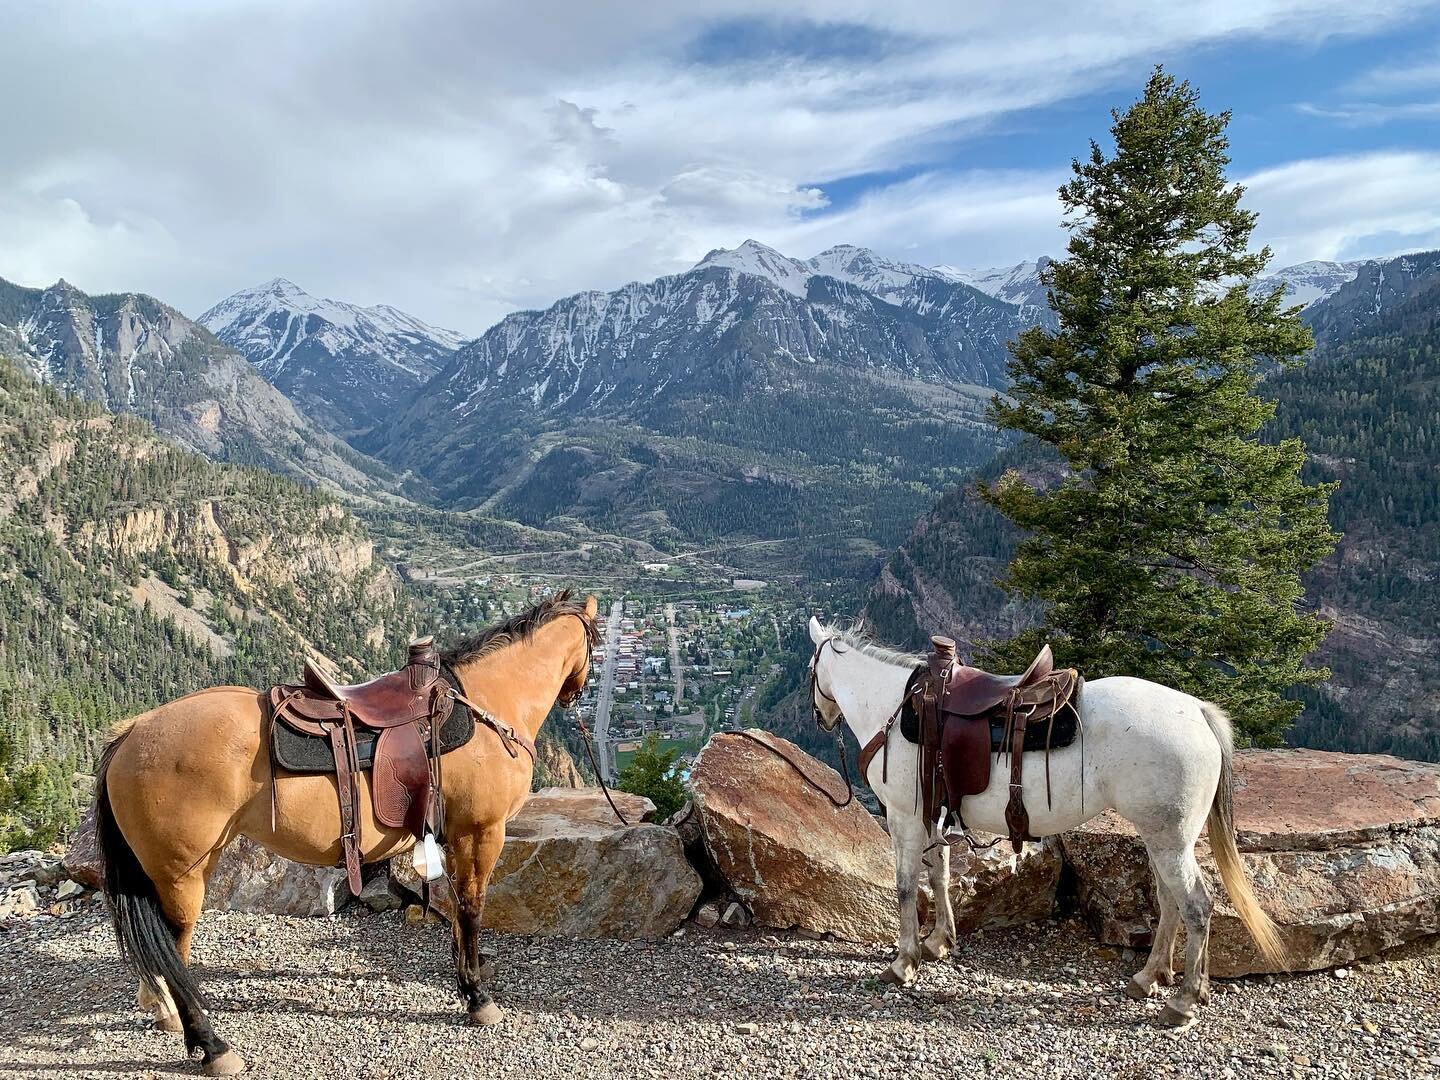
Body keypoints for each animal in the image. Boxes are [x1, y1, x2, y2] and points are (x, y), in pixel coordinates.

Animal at [91, 596, 596, 1077]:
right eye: (594, 642)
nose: (575, 696)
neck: (487, 704)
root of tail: (131, 733)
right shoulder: (480, 832)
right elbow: (471, 907)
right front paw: (476, 995)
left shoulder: (454, 835)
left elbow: (456, 908)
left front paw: (465, 972)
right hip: (180, 874)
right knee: (174, 944)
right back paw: (211, 1044)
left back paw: (164, 1011)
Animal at [806, 616, 1290, 1031]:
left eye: (810, 669)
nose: (821, 718)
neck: (896, 707)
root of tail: (1199, 711)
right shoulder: (935, 813)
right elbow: (939, 875)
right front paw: (940, 941)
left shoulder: (905, 816)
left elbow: (907, 886)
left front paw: (904, 962)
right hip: (1160, 837)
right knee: (1169, 903)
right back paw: (1149, 978)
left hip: (1170, 839)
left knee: (1196, 907)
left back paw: (1183, 1002)